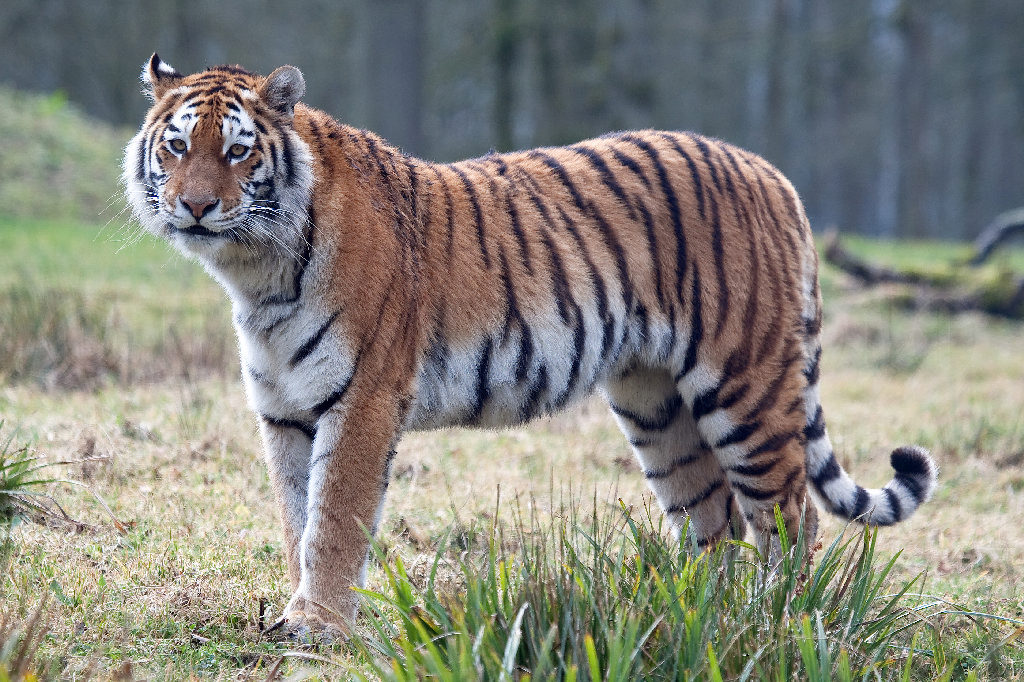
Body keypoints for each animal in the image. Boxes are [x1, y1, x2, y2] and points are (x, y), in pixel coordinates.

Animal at [123, 54, 938, 637]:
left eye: (236, 152)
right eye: (176, 145)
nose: (195, 206)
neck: (256, 271)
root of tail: (774, 175)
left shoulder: (360, 404)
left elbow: (334, 523)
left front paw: (316, 626)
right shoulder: (284, 410)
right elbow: (298, 518)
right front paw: (298, 612)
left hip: (746, 387)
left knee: (792, 521)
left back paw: (780, 621)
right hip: (655, 406)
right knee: (716, 523)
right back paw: (710, 618)